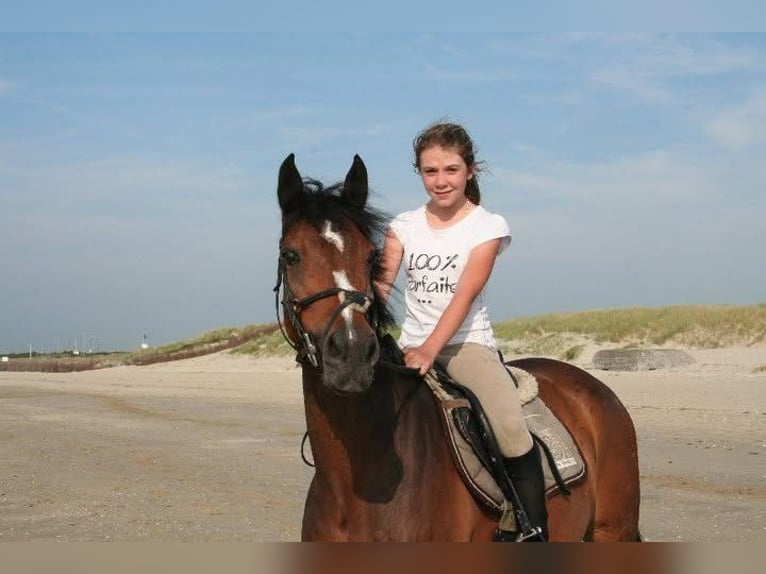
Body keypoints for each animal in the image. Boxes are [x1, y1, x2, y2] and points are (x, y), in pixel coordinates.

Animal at [275, 153, 641, 541]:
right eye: (290, 255)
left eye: (372, 258)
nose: (352, 354)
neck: (356, 483)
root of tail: (594, 386)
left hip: (612, 531)